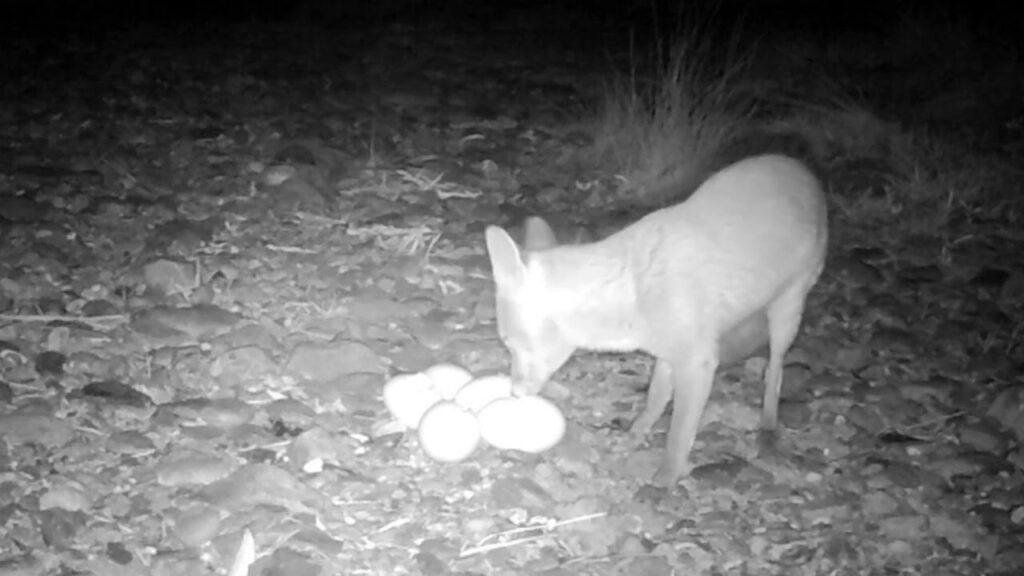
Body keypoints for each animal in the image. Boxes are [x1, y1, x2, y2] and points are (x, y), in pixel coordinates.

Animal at [483, 153, 827, 483]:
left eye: (509, 342)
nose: (515, 393)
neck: (633, 291)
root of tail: (802, 168)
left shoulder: (698, 361)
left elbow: (679, 431)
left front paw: (666, 477)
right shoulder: (668, 353)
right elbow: (656, 397)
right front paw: (636, 432)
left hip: (786, 309)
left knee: (776, 368)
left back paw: (768, 420)